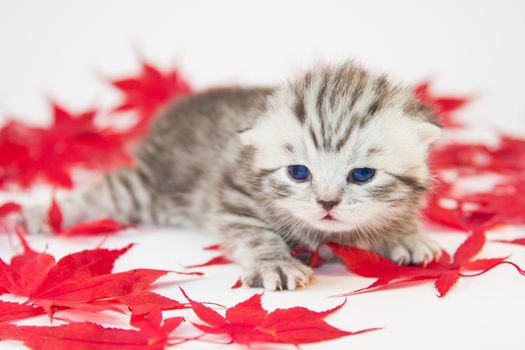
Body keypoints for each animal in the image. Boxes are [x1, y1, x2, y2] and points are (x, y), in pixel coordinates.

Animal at [24, 62, 442, 290]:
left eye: (362, 175)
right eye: (298, 173)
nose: (326, 202)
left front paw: (406, 236)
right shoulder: (234, 192)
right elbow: (256, 232)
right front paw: (275, 262)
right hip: (145, 189)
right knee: (99, 195)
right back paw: (38, 215)